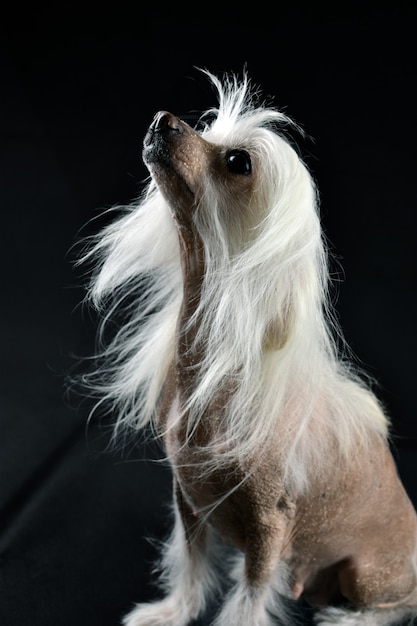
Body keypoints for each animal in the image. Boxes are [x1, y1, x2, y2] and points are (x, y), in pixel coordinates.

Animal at [83, 73, 416, 624]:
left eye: (238, 162)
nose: (163, 119)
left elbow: (249, 598)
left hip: (367, 574)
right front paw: (172, 612)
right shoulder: (187, 499)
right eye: (208, 127)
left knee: (393, 605)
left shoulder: (270, 529)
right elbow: (192, 564)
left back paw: (345, 617)